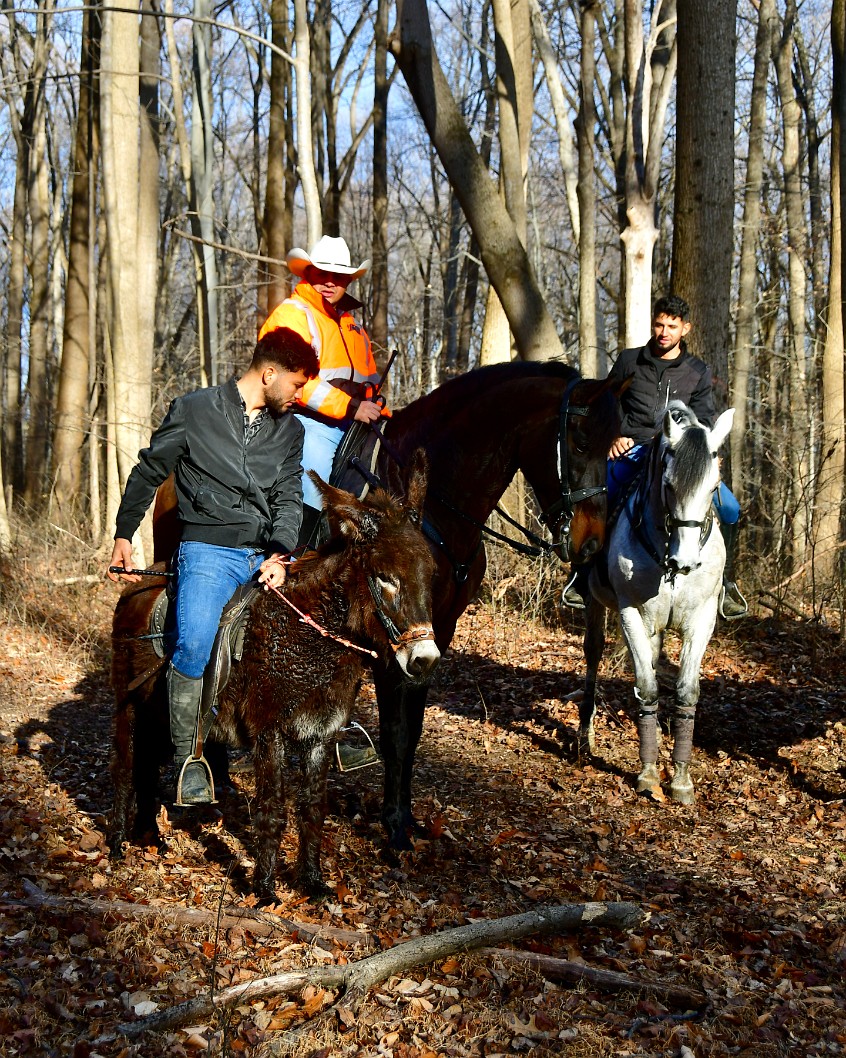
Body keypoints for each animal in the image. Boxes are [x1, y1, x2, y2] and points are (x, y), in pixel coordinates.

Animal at [109, 454, 439, 901]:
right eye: (385, 576)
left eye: (431, 574)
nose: (424, 659)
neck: (307, 634)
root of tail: (140, 585)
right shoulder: (270, 734)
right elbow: (271, 810)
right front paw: (264, 890)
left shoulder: (321, 735)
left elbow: (312, 810)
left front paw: (312, 882)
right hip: (128, 706)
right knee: (125, 767)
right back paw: (117, 845)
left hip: (157, 712)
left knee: (146, 764)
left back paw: (148, 837)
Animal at [152, 363, 617, 850]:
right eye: (580, 441)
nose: (591, 544)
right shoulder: (388, 640)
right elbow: (394, 730)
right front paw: (393, 823)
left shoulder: (436, 633)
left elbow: (411, 732)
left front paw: (405, 815)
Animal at [583, 399, 731, 795]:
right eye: (668, 485)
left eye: (714, 487)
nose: (686, 562)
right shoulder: (631, 613)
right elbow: (647, 689)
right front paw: (649, 772)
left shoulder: (702, 619)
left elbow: (686, 691)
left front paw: (680, 778)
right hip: (594, 602)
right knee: (593, 653)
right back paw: (583, 737)